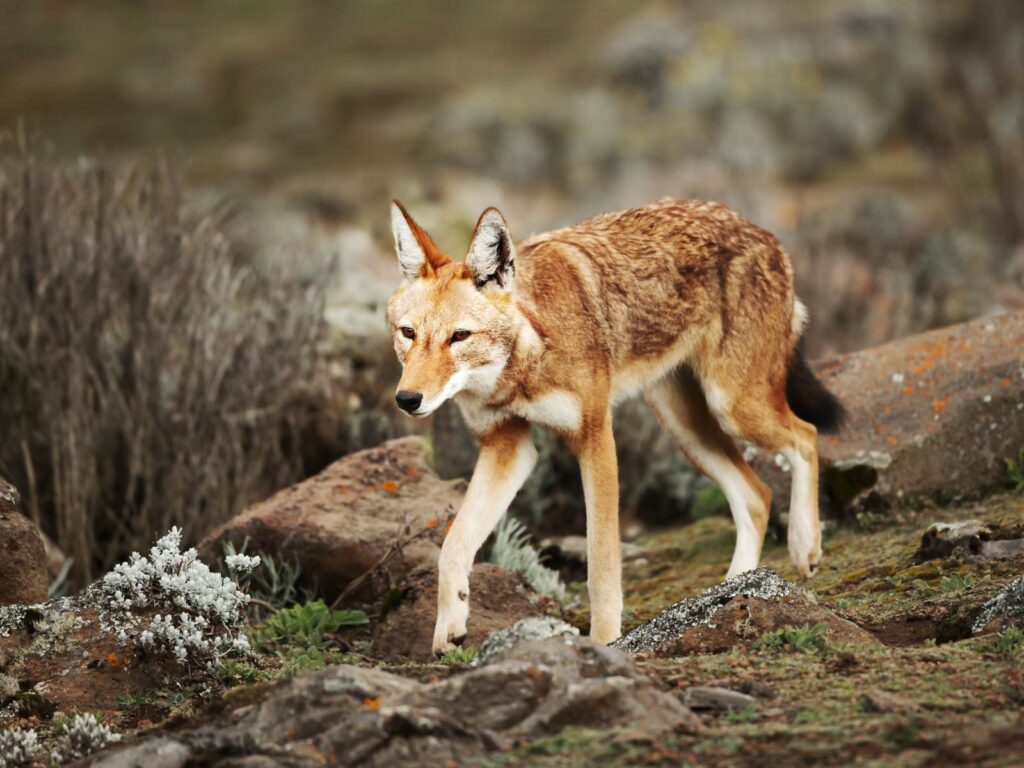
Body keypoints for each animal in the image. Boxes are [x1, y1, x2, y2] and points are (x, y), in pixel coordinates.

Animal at [387, 198, 843, 655]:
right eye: (408, 333)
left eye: (459, 336)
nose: (407, 400)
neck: (527, 359)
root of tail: (761, 232)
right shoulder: (507, 447)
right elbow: (452, 545)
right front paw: (449, 628)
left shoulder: (595, 437)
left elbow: (602, 566)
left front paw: (604, 643)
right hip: (685, 426)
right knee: (758, 495)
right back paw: (735, 589)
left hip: (733, 406)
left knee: (806, 437)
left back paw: (804, 548)